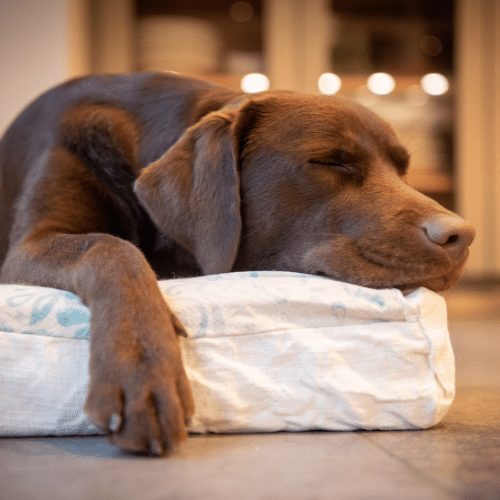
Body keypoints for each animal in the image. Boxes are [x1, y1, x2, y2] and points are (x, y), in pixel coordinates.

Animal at [0, 72, 474, 456]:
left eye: (403, 171)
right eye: (331, 161)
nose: (462, 234)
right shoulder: (29, 245)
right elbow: (111, 248)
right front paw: (142, 367)